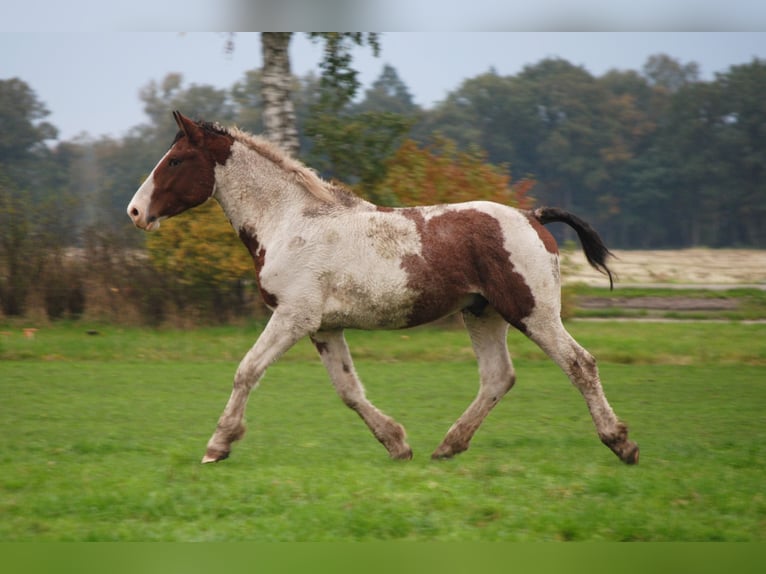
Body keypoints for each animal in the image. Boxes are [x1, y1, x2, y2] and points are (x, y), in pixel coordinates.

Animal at [127, 111, 639, 466]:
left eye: (175, 160)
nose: (134, 212)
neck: (291, 222)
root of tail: (532, 217)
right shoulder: (323, 328)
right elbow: (349, 390)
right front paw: (397, 444)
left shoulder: (292, 317)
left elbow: (247, 371)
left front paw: (218, 445)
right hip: (482, 314)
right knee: (498, 377)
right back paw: (447, 447)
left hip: (531, 312)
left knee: (579, 364)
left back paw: (621, 443)